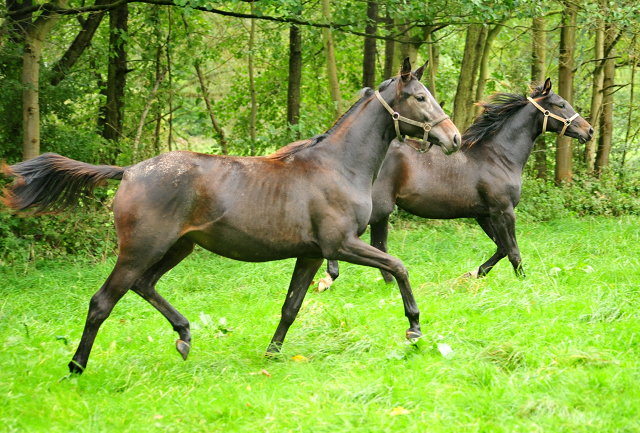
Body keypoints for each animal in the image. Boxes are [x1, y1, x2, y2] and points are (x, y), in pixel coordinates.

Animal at [0, 59, 460, 372]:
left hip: (177, 247)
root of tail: (129, 171)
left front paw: (272, 354)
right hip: (140, 249)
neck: (337, 166)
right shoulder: (341, 245)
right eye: (420, 97)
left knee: (145, 286)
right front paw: (414, 329)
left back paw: (184, 336)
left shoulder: (312, 253)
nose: (453, 138)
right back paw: (76, 367)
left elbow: (291, 306)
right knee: (102, 302)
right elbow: (398, 266)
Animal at [328, 78, 592, 284]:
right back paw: (329, 276)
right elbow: (513, 251)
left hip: (383, 212)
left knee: (378, 246)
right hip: (379, 209)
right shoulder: (503, 210)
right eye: (561, 104)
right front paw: (523, 282)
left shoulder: (483, 214)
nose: (588, 131)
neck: (499, 156)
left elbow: (501, 248)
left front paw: (472, 274)